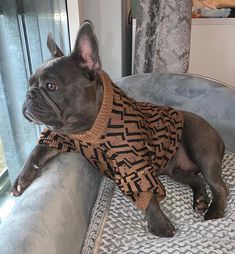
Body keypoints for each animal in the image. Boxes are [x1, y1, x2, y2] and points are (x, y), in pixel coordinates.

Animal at [11, 20, 228, 237]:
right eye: (29, 83)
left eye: (51, 86)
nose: (29, 94)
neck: (88, 128)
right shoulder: (61, 137)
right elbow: (37, 151)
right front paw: (22, 180)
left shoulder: (134, 165)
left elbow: (146, 192)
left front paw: (158, 223)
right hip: (176, 171)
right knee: (197, 180)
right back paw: (200, 200)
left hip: (201, 147)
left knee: (219, 186)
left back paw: (214, 211)